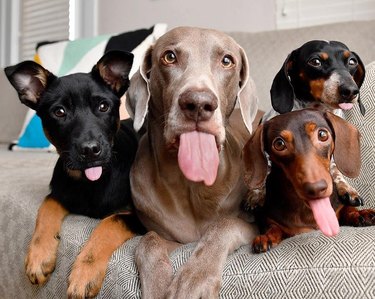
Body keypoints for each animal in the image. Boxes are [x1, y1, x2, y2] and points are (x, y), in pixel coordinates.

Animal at [5, 50, 145, 298]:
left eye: (103, 106)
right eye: (59, 112)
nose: (90, 150)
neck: (90, 181)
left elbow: (111, 222)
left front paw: (85, 273)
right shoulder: (59, 191)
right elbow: (46, 207)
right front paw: (39, 257)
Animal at [125, 27, 260, 298]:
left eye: (227, 60)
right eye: (169, 56)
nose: (198, 103)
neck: (191, 184)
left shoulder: (252, 227)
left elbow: (222, 225)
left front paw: (194, 279)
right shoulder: (171, 238)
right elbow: (147, 241)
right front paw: (158, 286)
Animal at [244, 109, 375, 254]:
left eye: (322, 135)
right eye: (279, 144)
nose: (316, 188)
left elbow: (346, 208)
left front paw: (359, 213)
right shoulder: (267, 218)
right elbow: (272, 226)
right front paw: (267, 236)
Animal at [250, 40, 368, 211]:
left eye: (352, 61)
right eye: (315, 61)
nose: (351, 91)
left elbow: (336, 170)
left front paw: (347, 188)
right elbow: (264, 172)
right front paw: (257, 194)